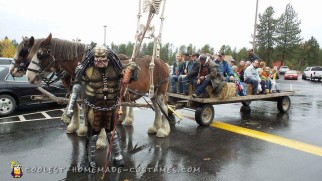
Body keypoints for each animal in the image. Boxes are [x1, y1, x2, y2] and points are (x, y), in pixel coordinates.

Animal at [25, 33, 171, 139]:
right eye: (29, 54)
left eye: (41, 55)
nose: (28, 76)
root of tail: (162, 62)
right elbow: (83, 108)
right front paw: (82, 129)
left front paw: (100, 139)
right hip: (153, 92)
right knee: (157, 109)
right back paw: (155, 127)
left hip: (160, 91)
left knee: (163, 108)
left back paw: (163, 130)